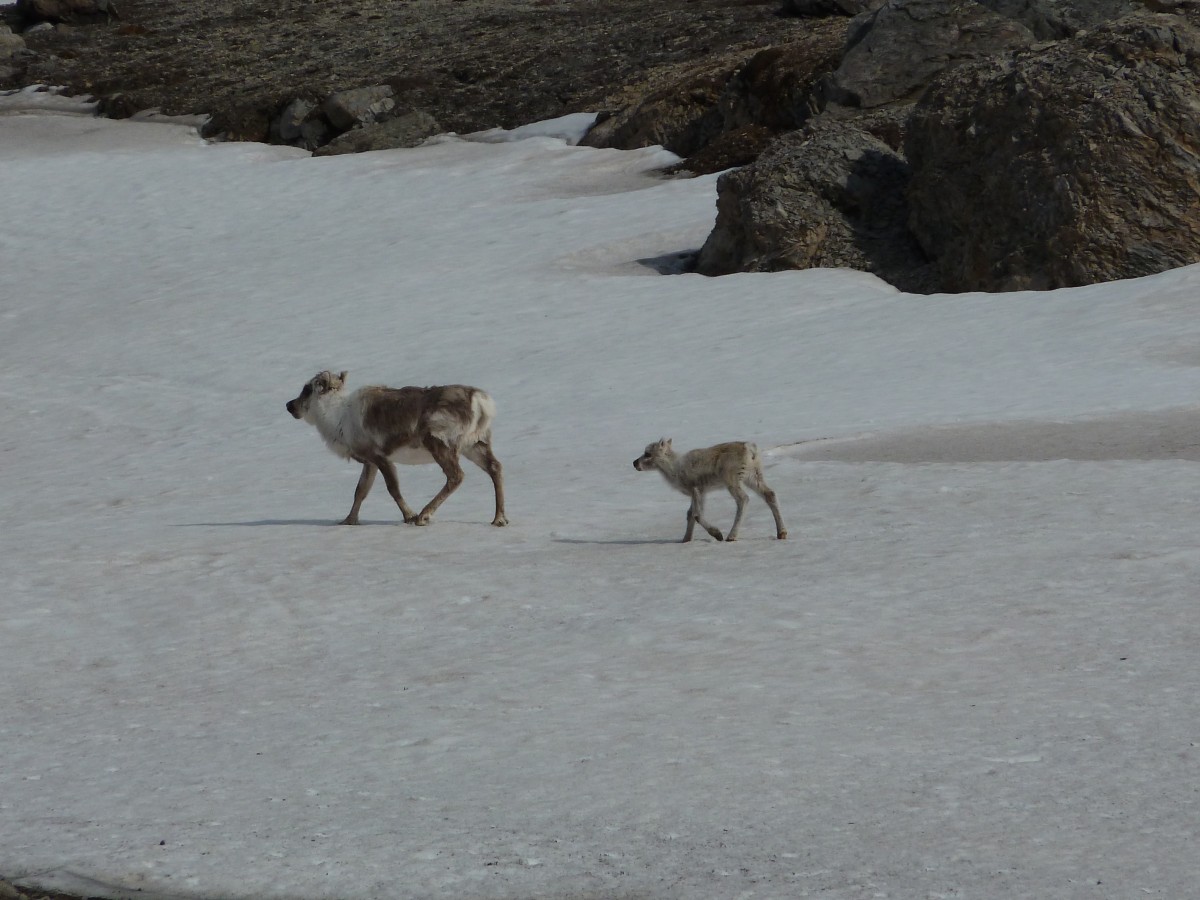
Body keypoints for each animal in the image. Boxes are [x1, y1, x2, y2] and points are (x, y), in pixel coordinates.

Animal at [286, 371, 507, 528]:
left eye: (307, 389)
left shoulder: (381, 457)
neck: (338, 417)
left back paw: (423, 516)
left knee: (456, 476)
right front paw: (348, 520)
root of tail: (481, 402)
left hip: (440, 444)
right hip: (475, 445)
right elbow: (360, 491)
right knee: (495, 468)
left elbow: (393, 489)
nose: (289, 406)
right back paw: (499, 519)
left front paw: (410, 516)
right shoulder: (370, 462)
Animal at [633, 438, 786, 543]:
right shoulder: (699, 492)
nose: (635, 463)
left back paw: (731, 536)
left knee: (743, 499)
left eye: (648, 454)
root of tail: (750, 450)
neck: (674, 469)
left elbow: (696, 515)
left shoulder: (697, 489)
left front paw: (717, 534)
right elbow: (689, 514)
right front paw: (685, 539)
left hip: (732, 480)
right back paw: (782, 533)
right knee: (770, 494)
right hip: (754, 476)